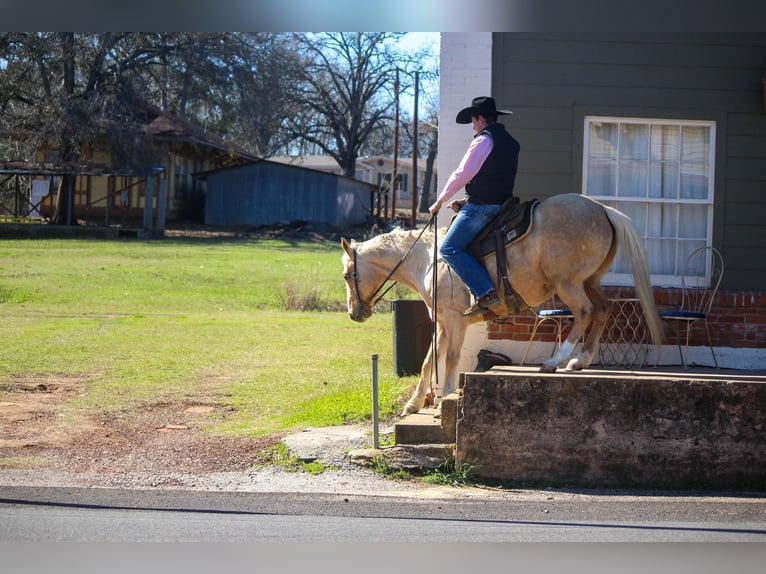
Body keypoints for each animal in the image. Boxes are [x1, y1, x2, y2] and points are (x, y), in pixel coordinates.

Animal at [340, 194, 664, 414]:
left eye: (346, 275)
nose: (354, 313)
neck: (429, 259)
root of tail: (603, 209)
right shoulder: (442, 321)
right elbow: (429, 359)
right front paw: (415, 402)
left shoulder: (455, 318)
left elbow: (452, 357)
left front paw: (444, 398)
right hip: (590, 281)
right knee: (603, 310)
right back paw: (580, 361)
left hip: (568, 283)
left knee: (584, 313)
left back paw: (555, 361)